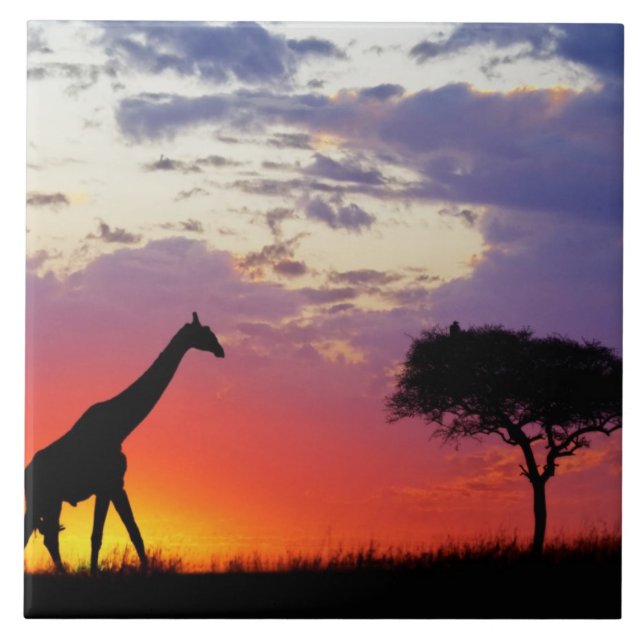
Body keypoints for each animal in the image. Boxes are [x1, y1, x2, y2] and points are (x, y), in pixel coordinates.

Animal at [24, 312, 224, 573]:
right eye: (205, 332)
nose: (220, 350)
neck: (120, 428)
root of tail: (26, 471)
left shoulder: (116, 485)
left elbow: (133, 532)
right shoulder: (106, 485)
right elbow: (99, 536)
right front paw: (97, 573)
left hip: (52, 500)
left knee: (47, 537)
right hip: (43, 498)